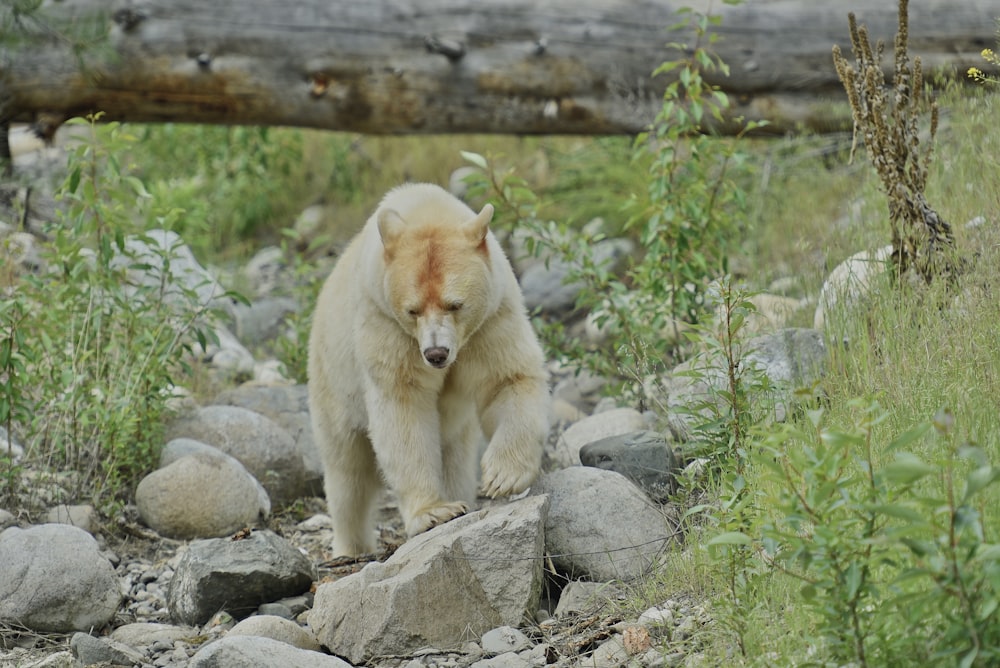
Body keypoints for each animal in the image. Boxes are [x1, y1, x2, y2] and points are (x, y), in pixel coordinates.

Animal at [308, 180, 552, 556]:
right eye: (413, 310)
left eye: (456, 304)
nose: (436, 353)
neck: (424, 206)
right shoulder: (385, 324)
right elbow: (403, 406)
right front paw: (434, 512)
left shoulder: (492, 319)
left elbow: (507, 378)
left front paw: (502, 476)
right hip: (332, 380)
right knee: (348, 471)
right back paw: (352, 546)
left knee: (455, 456)